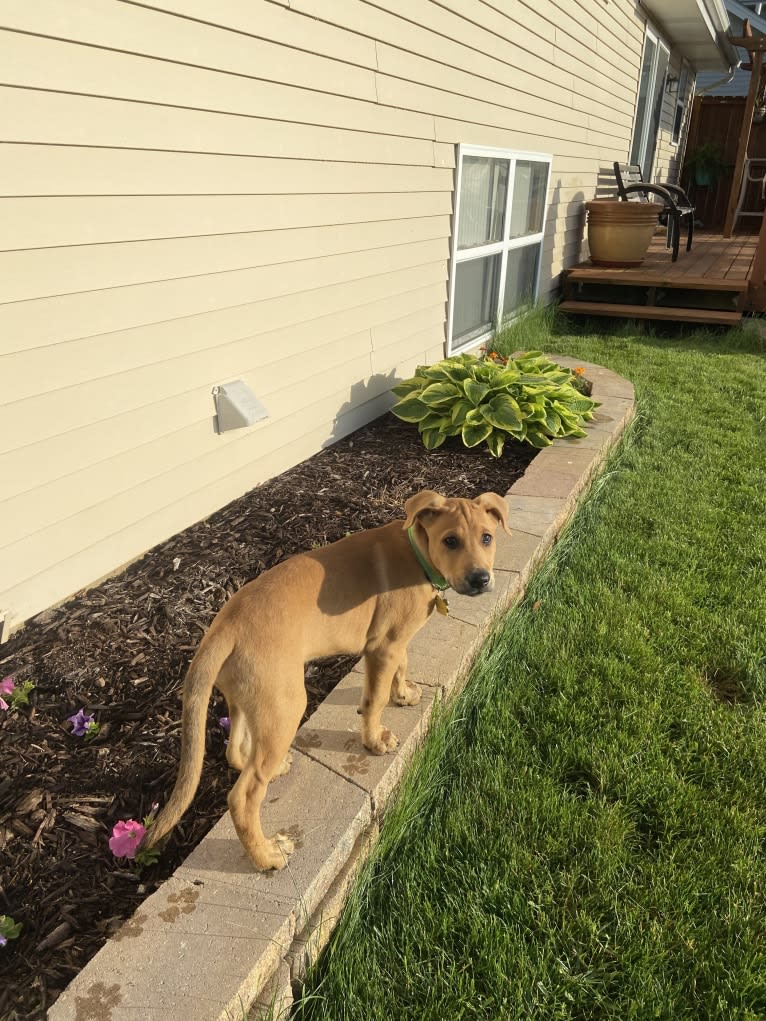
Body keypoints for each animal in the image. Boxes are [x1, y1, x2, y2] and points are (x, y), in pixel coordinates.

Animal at [147, 488, 512, 869]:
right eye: (450, 540)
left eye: (487, 538)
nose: (480, 579)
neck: (417, 554)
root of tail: (223, 629)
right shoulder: (381, 648)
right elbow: (374, 699)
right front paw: (374, 740)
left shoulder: (394, 641)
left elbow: (403, 665)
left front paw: (403, 694)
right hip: (286, 705)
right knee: (243, 796)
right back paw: (267, 855)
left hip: (250, 698)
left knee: (236, 751)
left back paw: (274, 773)